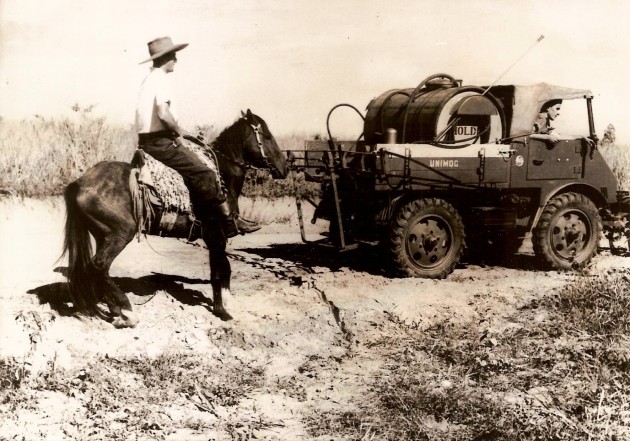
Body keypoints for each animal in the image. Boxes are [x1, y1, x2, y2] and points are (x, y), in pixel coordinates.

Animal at [61, 109, 288, 326]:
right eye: (267, 136)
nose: (283, 167)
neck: (221, 176)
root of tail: (79, 182)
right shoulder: (214, 234)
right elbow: (218, 271)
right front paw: (222, 311)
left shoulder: (217, 236)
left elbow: (225, 268)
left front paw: (227, 301)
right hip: (121, 233)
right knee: (99, 266)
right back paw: (127, 312)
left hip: (103, 235)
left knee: (98, 270)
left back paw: (117, 312)